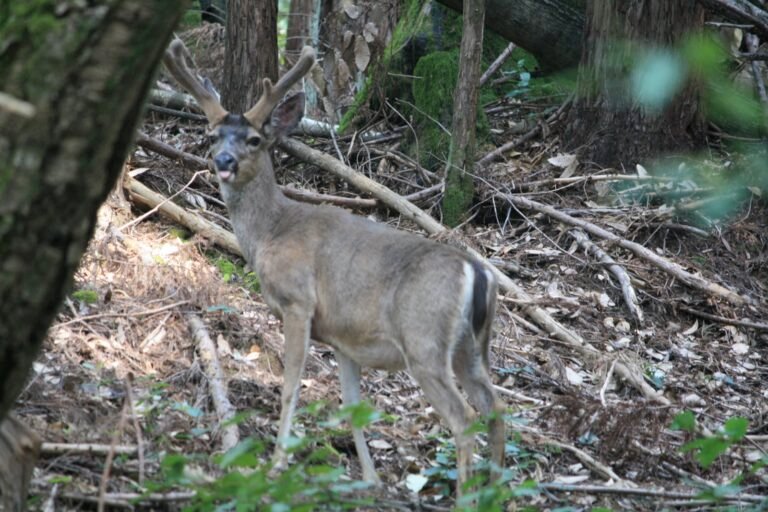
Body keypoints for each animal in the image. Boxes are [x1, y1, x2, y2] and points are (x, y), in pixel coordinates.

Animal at [163, 39, 506, 495]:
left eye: (254, 139)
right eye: (212, 134)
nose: (224, 160)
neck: (271, 232)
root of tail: (478, 272)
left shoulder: (298, 302)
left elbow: (290, 385)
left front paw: (277, 464)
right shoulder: (345, 340)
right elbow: (351, 406)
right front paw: (369, 478)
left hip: (424, 341)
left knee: (464, 418)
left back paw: (467, 496)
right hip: (470, 347)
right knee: (496, 407)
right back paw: (501, 491)